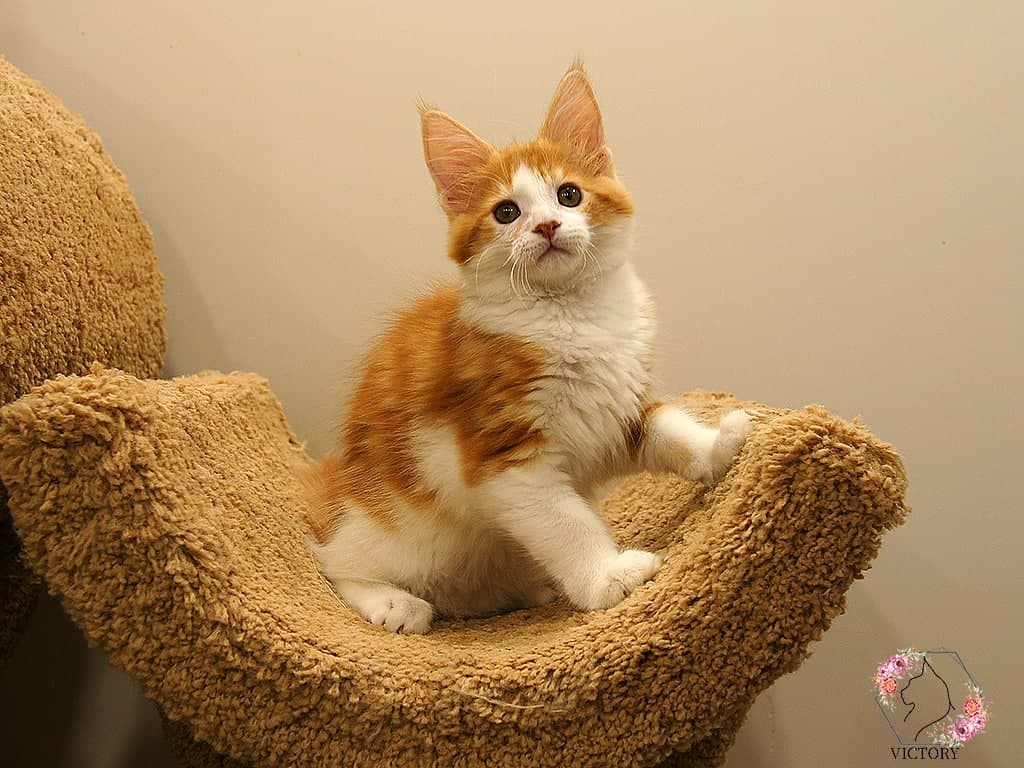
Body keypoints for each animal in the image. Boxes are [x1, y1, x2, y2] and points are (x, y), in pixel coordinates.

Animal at [307, 63, 754, 634]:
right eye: (506, 212)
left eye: (569, 195)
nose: (546, 226)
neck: (573, 315)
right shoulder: (505, 456)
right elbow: (567, 524)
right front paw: (607, 579)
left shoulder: (622, 406)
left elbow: (670, 432)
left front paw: (720, 446)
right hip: (400, 525)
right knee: (334, 563)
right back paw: (394, 604)